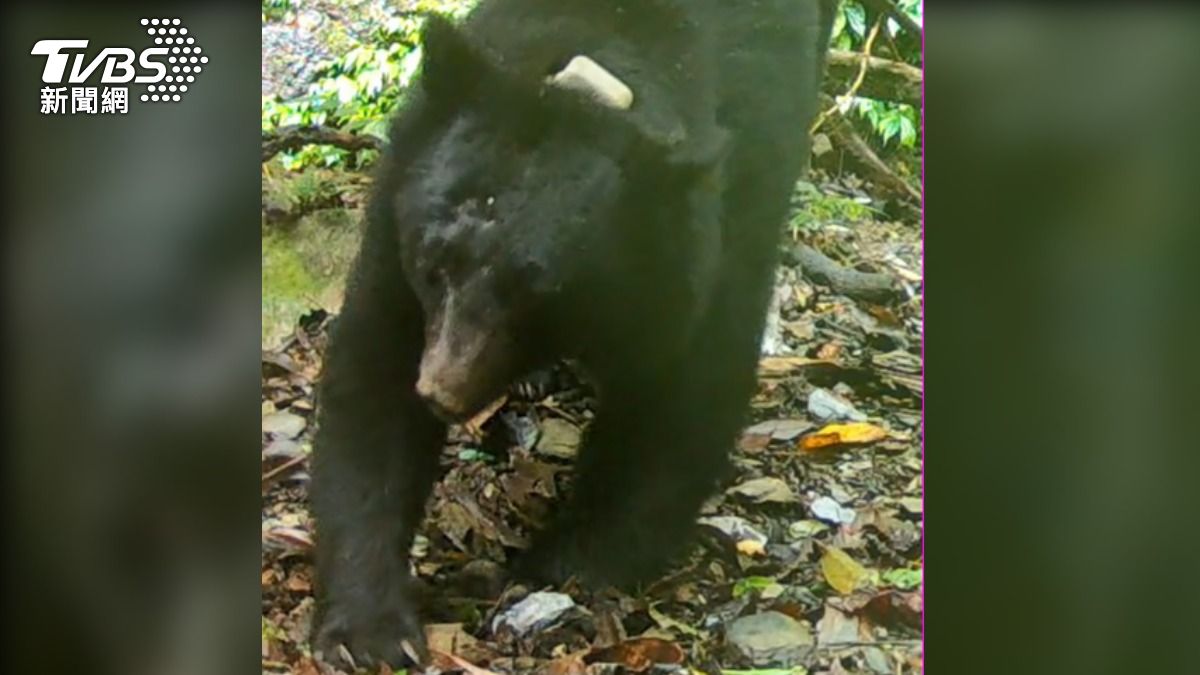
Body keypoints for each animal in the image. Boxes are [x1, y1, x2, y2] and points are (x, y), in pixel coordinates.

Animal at [310, 0, 836, 667]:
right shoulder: (403, 193)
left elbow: (682, 396)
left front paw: (562, 567)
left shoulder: (726, 215)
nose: (440, 392)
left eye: (540, 298)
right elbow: (373, 377)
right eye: (436, 263)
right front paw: (370, 635)